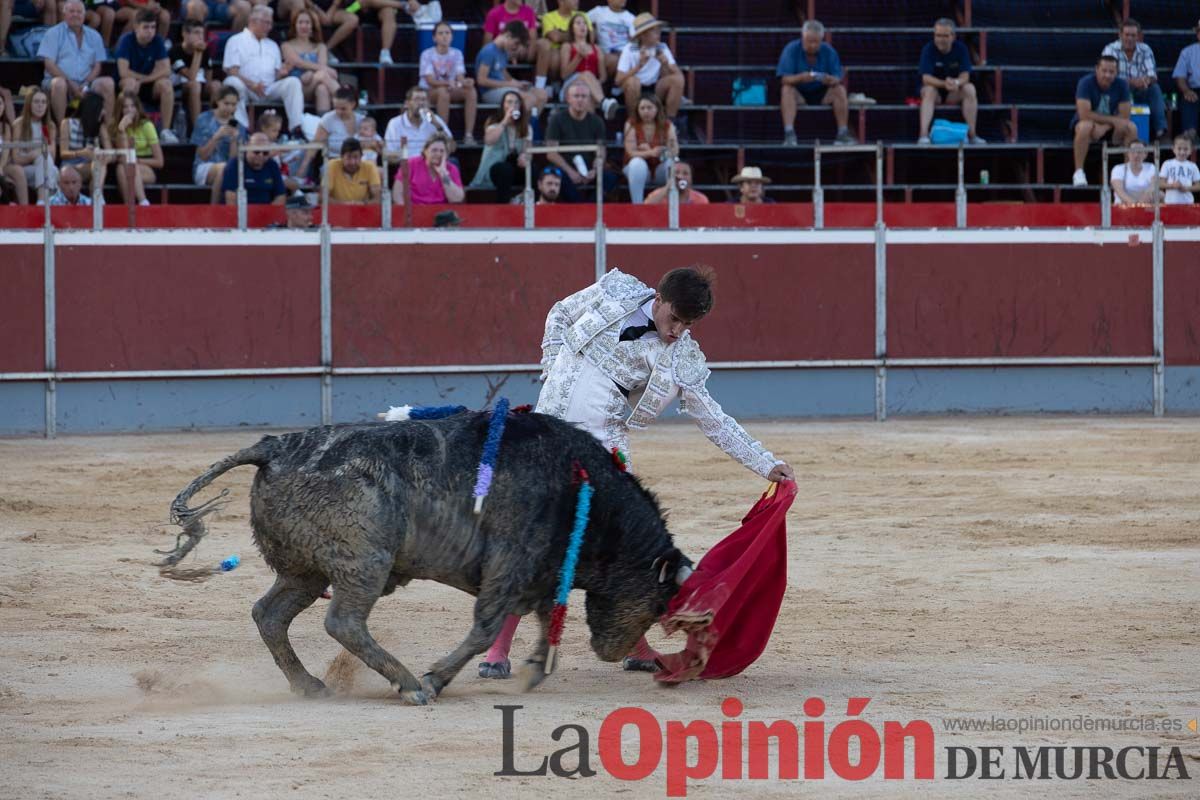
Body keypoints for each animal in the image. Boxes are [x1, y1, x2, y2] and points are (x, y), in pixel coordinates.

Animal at [157, 412, 696, 705]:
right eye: (658, 603)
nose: (612, 651)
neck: (585, 494)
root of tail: (274, 446)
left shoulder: (542, 576)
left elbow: (546, 623)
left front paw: (533, 671)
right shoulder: (510, 564)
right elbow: (484, 629)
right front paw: (438, 677)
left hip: (304, 571)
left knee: (269, 614)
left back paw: (310, 686)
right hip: (364, 562)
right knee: (343, 622)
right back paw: (411, 685)